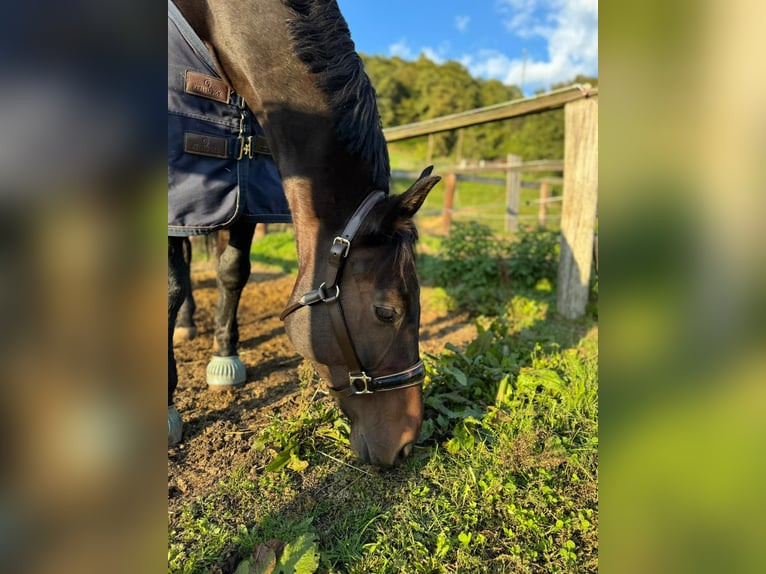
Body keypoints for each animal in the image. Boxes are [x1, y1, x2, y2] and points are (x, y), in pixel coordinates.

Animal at [168, 0, 440, 467]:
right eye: (386, 312)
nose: (406, 444)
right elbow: (169, 285)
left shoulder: (244, 186)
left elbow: (232, 271)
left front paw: (225, 357)